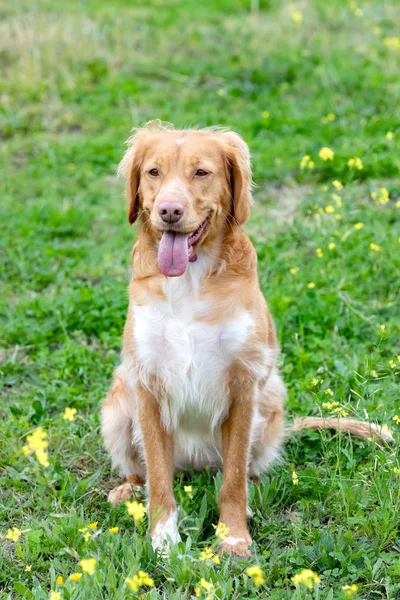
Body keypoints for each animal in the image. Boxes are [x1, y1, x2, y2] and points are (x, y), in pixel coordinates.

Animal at [101, 122, 394, 556]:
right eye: (154, 172)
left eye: (201, 172)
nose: (169, 211)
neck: (190, 280)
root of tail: (196, 464)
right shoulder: (148, 384)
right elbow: (158, 478)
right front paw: (163, 541)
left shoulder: (242, 384)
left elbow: (234, 479)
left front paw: (234, 538)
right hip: (118, 403)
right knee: (145, 471)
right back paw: (128, 489)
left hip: (269, 400)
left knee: (246, 469)